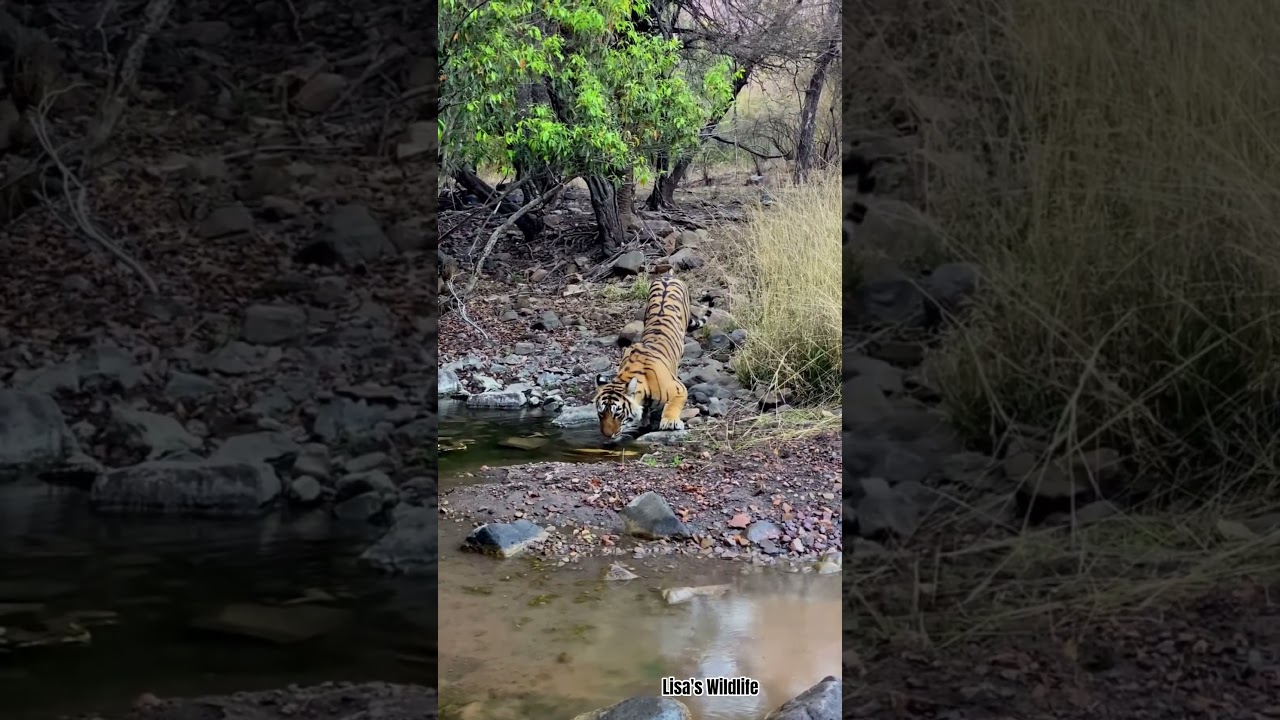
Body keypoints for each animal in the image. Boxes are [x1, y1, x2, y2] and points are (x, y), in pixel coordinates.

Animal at [594, 274, 712, 441]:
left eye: (617, 413)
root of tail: (668, 276)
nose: (607, 435)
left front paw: (670, 422)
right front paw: (644, 421)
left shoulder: (678, 388)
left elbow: (673, 404)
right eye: (601, 413)